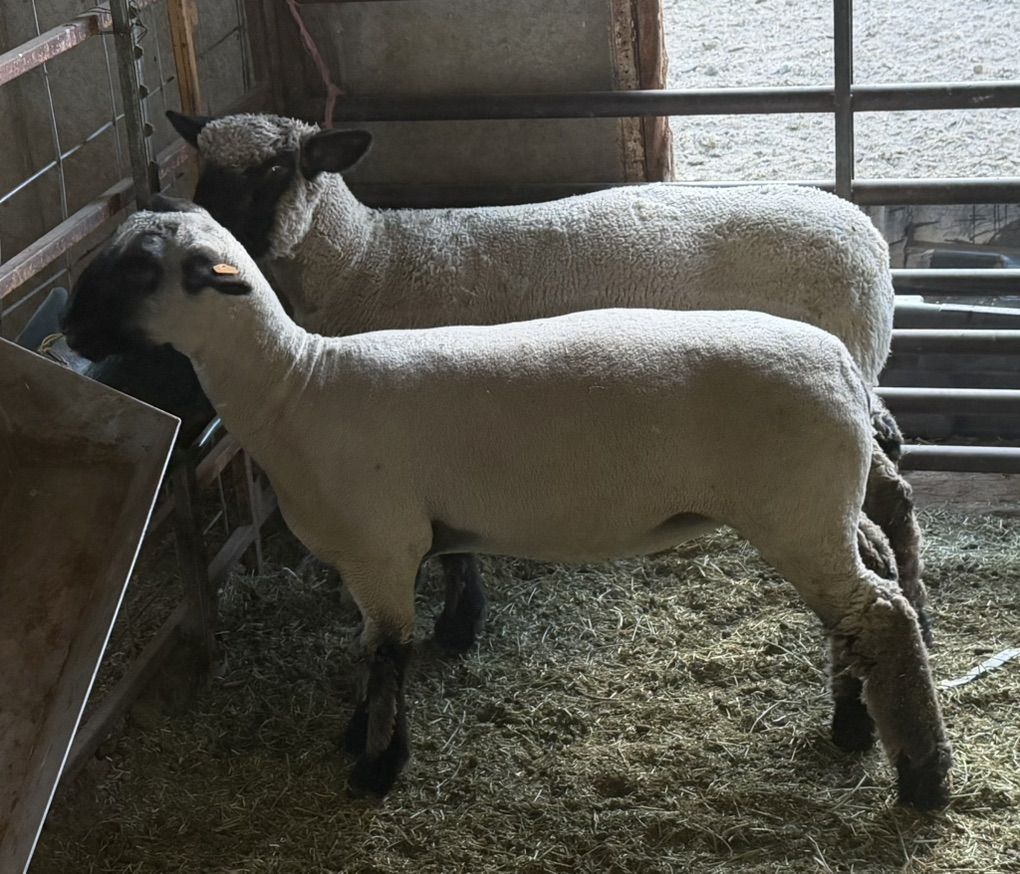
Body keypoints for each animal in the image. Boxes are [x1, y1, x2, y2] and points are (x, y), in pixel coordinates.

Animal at [60, 200, 950, 809]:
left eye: (141, 268)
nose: (70, 327)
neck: (295, 386)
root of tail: (842, 364)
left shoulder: (382, 547)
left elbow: (388, 655)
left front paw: (376, 766)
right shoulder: (374, 554)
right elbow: (373, 647)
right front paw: (361, 735)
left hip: (795, 510)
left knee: (878, 614)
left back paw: (922, 776)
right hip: (821, 505)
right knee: (869, 591)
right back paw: (857, 725)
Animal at [166, 110, 905, 652]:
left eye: (272, 169)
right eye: (204, 165)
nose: (203, 232)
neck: (367, 262)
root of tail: (867, 238)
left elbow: (454, 551)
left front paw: (458, 627)